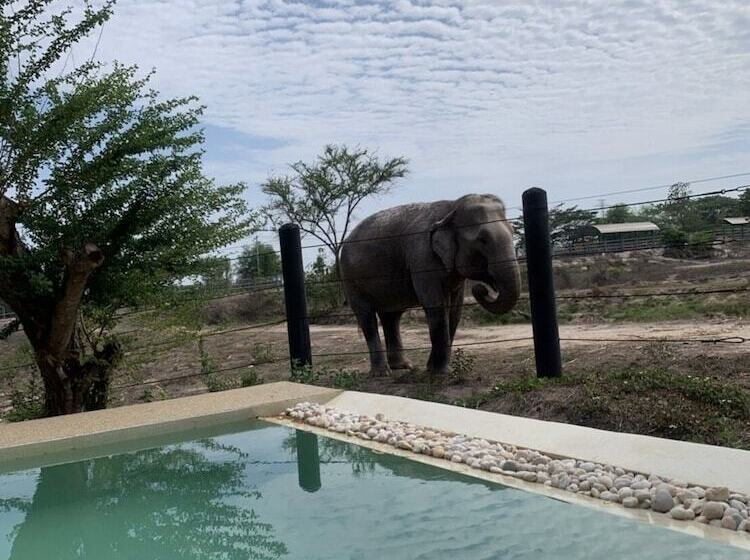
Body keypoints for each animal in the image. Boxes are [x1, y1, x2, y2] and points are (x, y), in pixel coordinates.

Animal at [339, 193, 520, 376]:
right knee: (367, 317)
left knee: (391, 316)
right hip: (350, 278)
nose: (482, 289)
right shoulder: (422, 259)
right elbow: (436, 306)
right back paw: (382, 373)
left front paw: (432, 369)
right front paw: (441, 373)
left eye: (513, 232)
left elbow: (455, 311)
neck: (452, 206)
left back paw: (404, 366)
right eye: (483, 240)